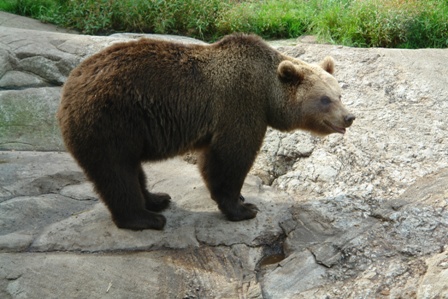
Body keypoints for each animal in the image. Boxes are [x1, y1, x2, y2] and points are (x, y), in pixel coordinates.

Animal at [57, 32, 356, 231]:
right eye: (325, 100)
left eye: (339, 94)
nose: (349, 117)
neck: (268, 94)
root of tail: (69, 86)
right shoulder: (239, 105)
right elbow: (230, 157)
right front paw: (243, 208)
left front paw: (241, 198)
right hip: (110, 120)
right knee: (116, 171)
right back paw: (145, 218)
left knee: (130, 168)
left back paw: (156, 199)